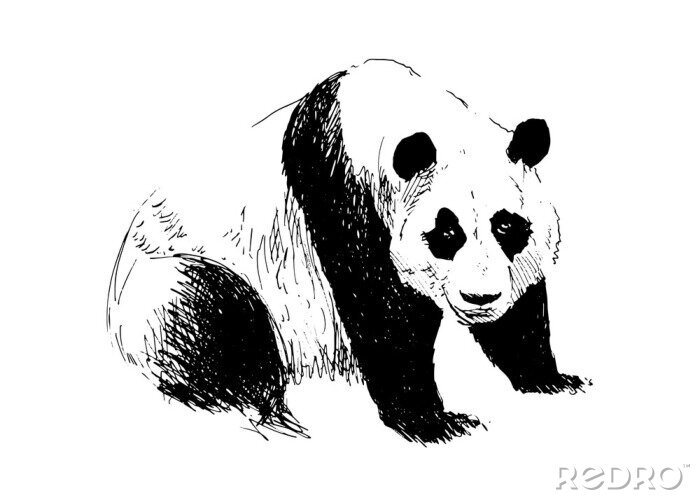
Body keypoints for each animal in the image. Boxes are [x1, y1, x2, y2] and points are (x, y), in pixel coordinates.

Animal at [107, 59, 586, 444]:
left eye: (507, 226)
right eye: (446, 233)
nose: (479, 298)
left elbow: (521, 312)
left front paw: (551, 379)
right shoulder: (339, 197)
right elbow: (384, 317)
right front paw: (433, 423)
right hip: (166, 290)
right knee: (212, 316)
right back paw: (269, 410)